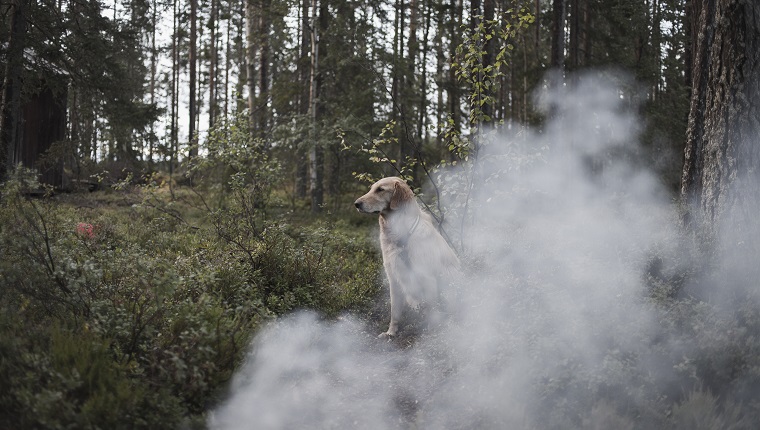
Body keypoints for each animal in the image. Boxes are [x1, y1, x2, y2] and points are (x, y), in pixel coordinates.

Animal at [354, 176, 460, 338]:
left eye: (380, 189)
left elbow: (432, 310)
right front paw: (391, 332)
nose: (356, 204)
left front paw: (430, 333)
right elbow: (395, 312)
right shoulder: (393, 278)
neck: (401, 235)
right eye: (371, 188)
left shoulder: (427, 278)